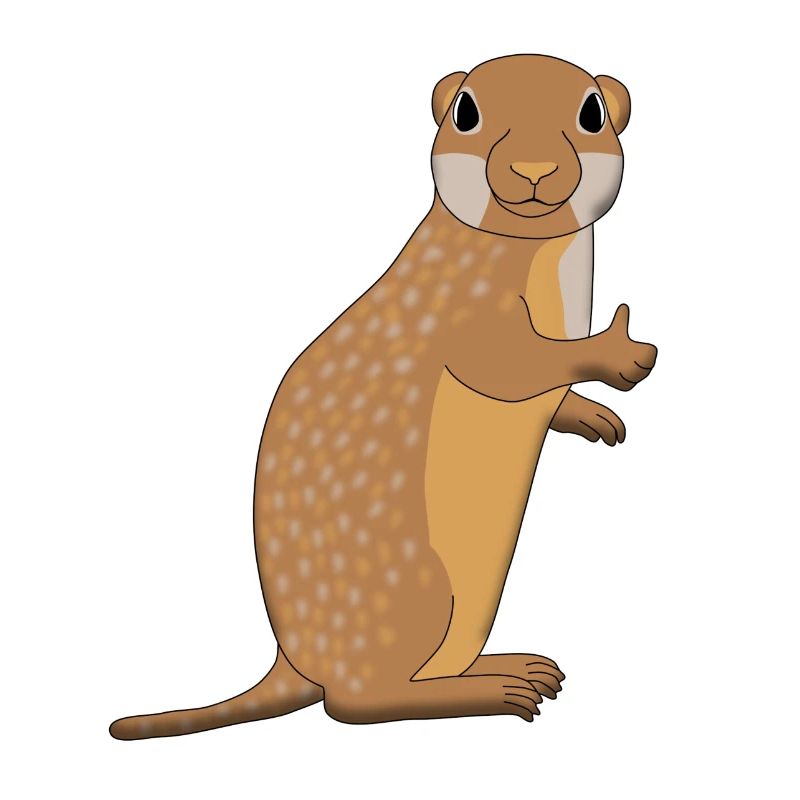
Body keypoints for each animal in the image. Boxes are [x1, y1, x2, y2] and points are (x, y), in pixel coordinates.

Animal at [110, 53, 657, 738]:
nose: (533, 169)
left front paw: (592, 413)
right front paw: (614, 353)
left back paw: (504, 666)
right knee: (356, 702)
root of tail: (294, 659)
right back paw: (488, 690)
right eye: (466, 113)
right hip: (416, 584)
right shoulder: (467, 309)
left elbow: (548, 394)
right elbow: (508, 366)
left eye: (592, 114)